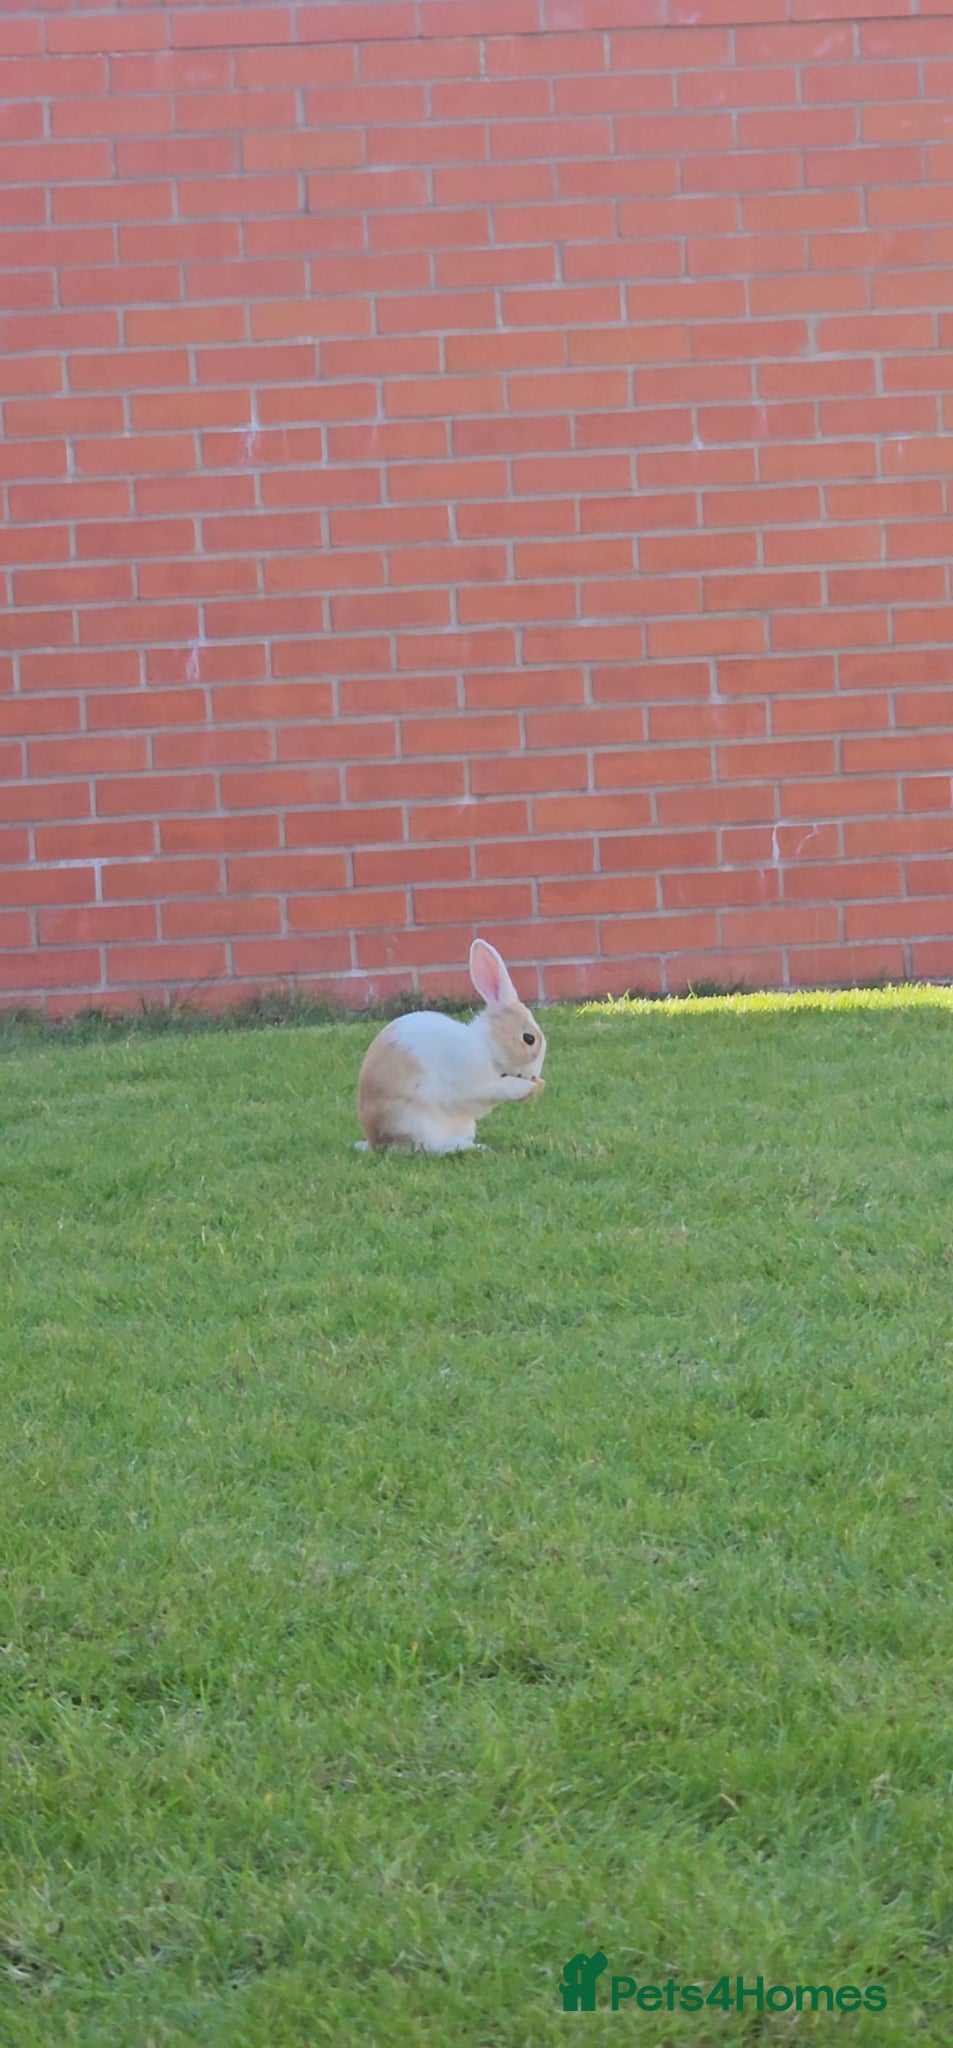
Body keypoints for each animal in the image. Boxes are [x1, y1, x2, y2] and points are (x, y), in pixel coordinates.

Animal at [356, 938, 546, 1154]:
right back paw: (472, 1147)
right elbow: (497, 1088)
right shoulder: (474, 1084)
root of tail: (375, 1141)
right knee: (428, 1147)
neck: (487, 1046)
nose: (534, 1075)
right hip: (416, 1122)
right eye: (528, 1039)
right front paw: (525, 1087)